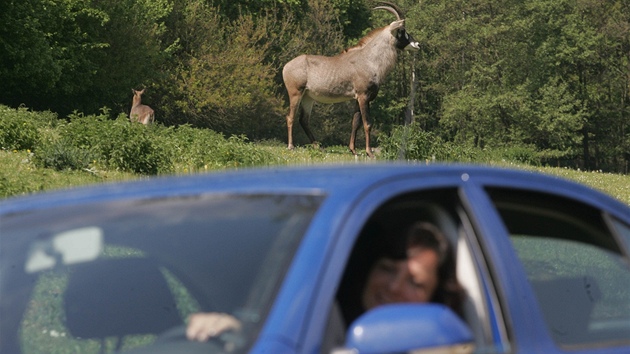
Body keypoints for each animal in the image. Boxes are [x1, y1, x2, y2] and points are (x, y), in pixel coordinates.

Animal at [282, 1, 420, 156]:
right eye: (402, 30)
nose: (417, 45)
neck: (369, 59)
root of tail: (286, 66)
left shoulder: (358, 98)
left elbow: (355, 122)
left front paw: (353, 150)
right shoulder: (364, 96)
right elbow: (367, 123)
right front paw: (369, 152)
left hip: (308, 97)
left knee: (304, 120)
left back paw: (318, 146)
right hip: (295, 93)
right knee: (290, 117)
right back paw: (291, 146)